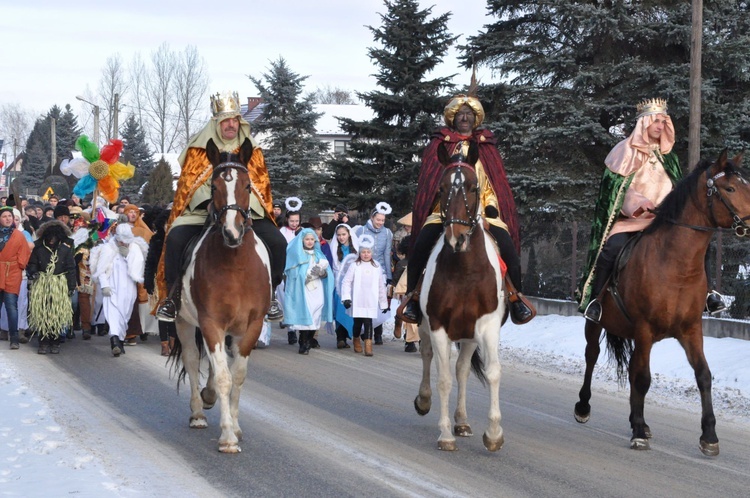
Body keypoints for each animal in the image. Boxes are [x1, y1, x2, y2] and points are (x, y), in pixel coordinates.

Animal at [172, 138, 272, 454]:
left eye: (248, 186)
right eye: (214, 187)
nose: (232, 232)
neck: (235, 264)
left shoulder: (251, 326)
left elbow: (237, 376)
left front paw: (236, 427)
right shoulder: (210, 322)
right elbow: (224, 377)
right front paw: (227, 436)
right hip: (184, 321)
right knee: (192, 360)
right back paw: (198, 412)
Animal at [414, 140, 508, 452]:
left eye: (473, 187)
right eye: (442, 189)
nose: (458, 238)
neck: (465, 270)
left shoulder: (487, 326)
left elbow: (492, 372)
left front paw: (493, 434)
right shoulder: (438, 325)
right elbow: (443, 379)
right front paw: (445, 435)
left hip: (468, 335)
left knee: (463, 369)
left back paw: (462, 420)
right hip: (426, 326)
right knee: (428, 356)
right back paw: (424, 400)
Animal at [576, 150, 748, 458]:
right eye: (730, 188)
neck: (676, 264)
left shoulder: (691, 330)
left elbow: (703, 375)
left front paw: (709, 436)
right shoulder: (645, 329)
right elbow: (643, 378)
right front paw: (638, 434)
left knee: (631, 368)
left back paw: (639, 422)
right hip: (595, 323)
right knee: (592, 356)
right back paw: (584, 407)